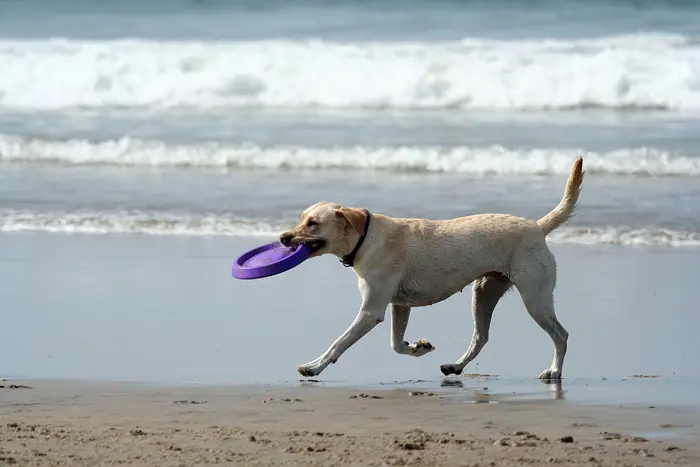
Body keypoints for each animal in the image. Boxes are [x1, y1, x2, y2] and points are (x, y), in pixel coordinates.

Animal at [280, 157, 584, 380]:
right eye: (301, 219)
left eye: (312, 223)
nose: (283, 237)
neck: (365, 237)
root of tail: (537, 226)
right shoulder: (400, 305)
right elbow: (396, 343)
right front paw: (418, 348)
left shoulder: (371, 310)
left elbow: (338, 343)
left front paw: (314, 366)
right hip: (484, 292)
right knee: (481, 336)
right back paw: (456, 366)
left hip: (535, 296)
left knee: (561, 335)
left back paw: (554, 371)